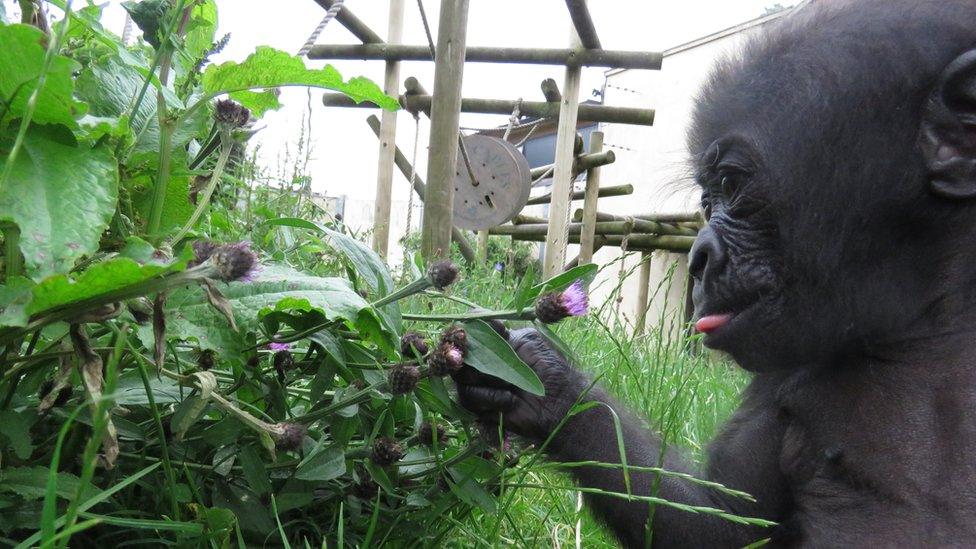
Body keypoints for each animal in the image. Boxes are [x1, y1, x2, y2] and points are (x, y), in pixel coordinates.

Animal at [454, 2, 976, 544]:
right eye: (706, 202)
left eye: (729, 183)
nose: (700, 255)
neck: (927, 320)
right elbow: (721, 523)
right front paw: (542, 382)